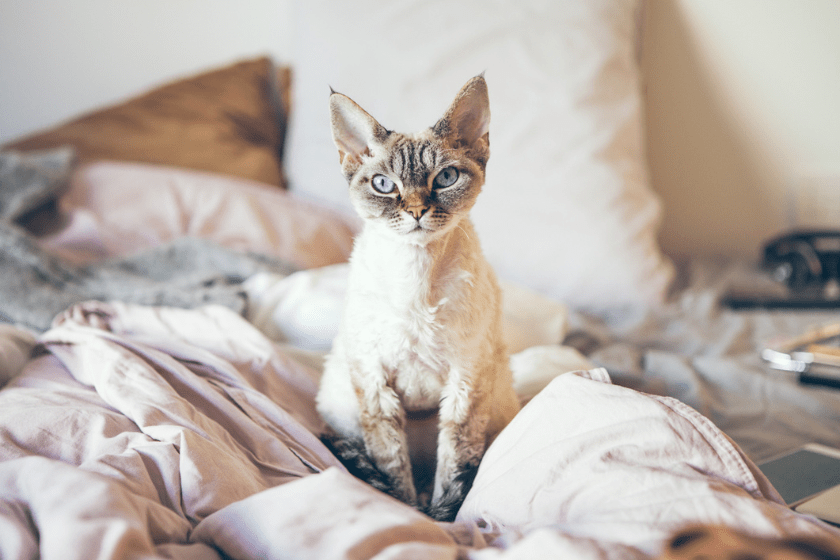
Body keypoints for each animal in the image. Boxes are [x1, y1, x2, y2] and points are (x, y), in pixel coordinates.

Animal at [316, 76, 520, 524]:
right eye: (383, 185)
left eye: (445, 178)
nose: (415, 211)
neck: (416, 274)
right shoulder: (374, 382)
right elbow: (393, 471)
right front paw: (406, 513)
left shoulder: (465, 383)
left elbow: (454, 467)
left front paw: (439, 519)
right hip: (343, 402)